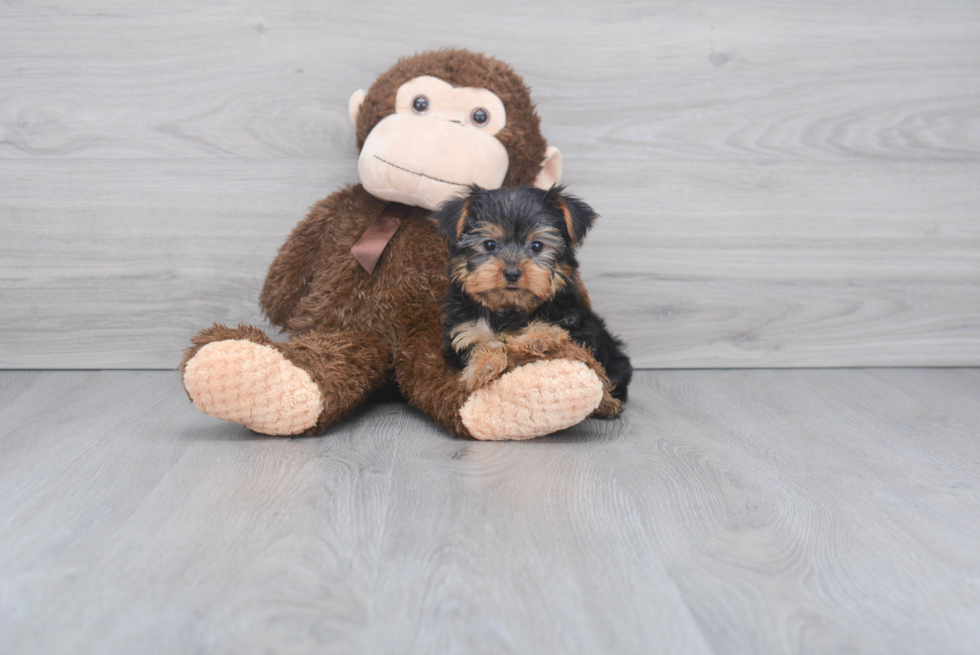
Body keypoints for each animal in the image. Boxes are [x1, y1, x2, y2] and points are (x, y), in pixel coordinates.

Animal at [432, 184, 632, 420]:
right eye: (489, 244)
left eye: (537, 246)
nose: (511, 273)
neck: (510, 309)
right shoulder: (464, 332)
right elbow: (479, 345)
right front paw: (484, 366)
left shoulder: (574, 322)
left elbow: (553, 329)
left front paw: (535, 338)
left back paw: (608, 404)